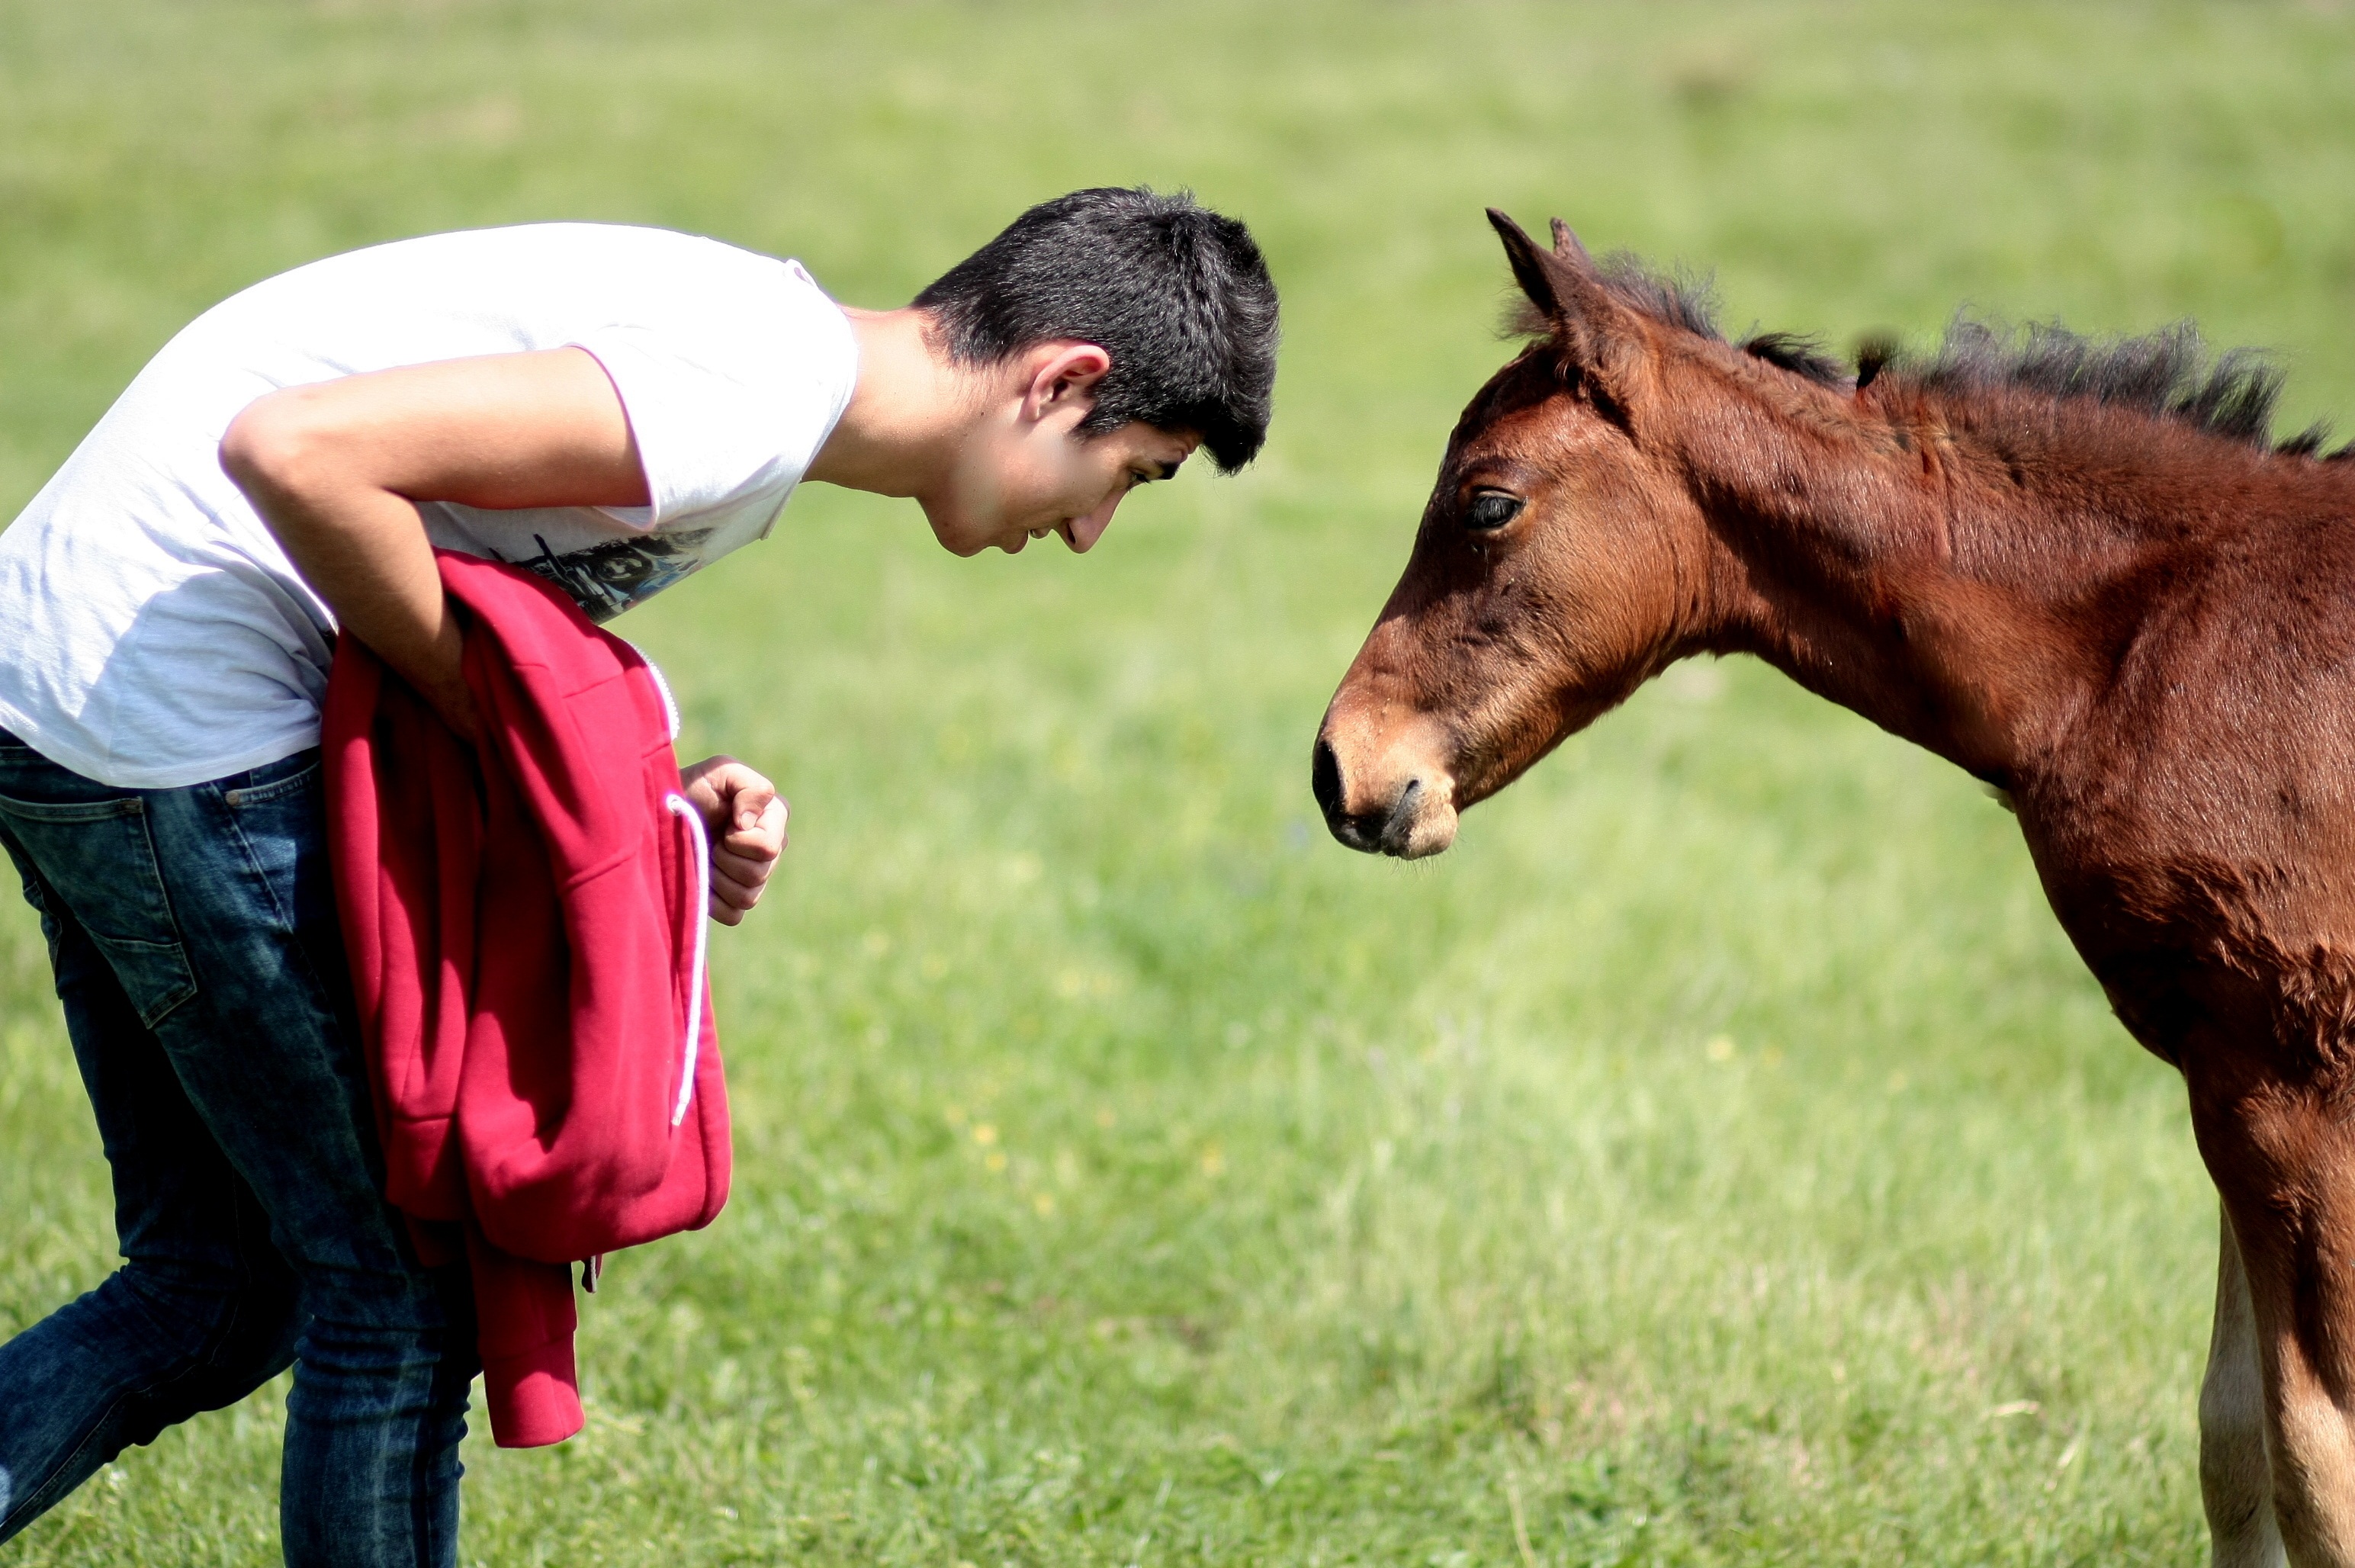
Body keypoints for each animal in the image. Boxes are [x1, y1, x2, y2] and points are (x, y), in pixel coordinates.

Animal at [1319, 210, 2355, 1563]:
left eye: (1487, 502)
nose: (1341, 765)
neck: (2149, 643)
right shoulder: (2223, 1066)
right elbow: (2236, 1442)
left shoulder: (2293, 1087)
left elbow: (2314, 1462)